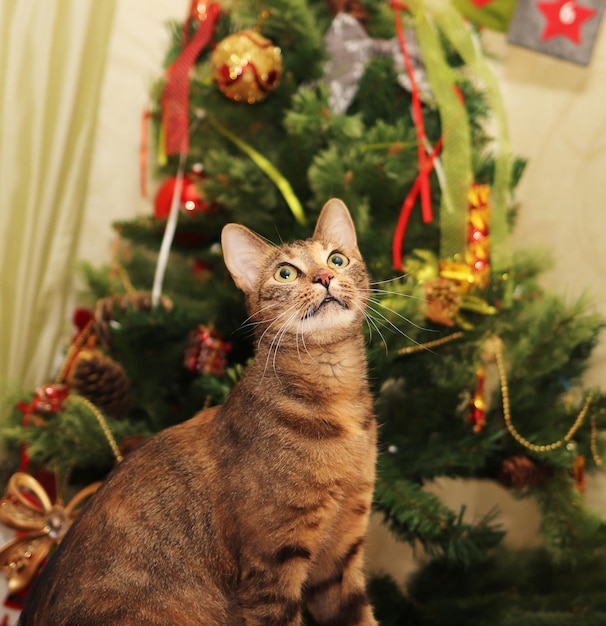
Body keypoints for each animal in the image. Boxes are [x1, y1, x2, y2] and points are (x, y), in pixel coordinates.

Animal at [17, 197, 380, 620]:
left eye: (337, 259)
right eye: (286, 273)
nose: (324, 276)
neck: (338, 402)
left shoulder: (339, 554)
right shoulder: (271, 568)